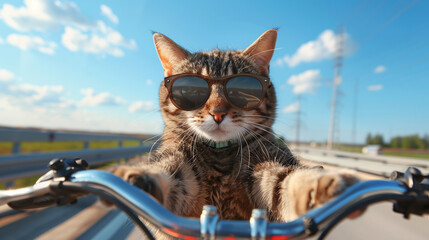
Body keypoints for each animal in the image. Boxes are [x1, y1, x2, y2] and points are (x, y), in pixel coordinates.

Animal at [111, 29, 358, 223]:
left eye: (242, 89)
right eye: (190, 89)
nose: (218, 112)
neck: (220, 155)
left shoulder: (267, 162)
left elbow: (285, 180)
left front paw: (317, 186)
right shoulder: (177, 160)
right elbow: (166, 171)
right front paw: (137, 177)